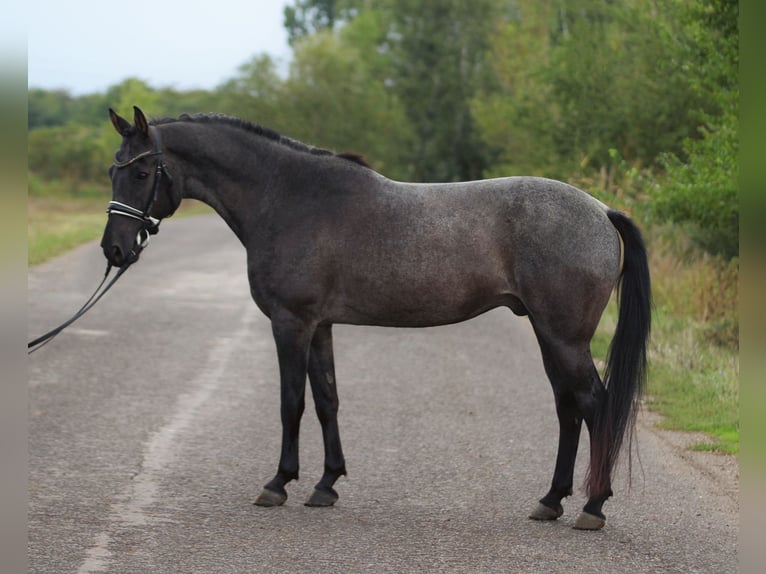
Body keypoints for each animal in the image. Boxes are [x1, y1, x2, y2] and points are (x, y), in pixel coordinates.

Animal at [103, 107, 656, 532]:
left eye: (141, 173)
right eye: (113, 171)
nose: (114, 249)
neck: (288, 198)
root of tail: (602, 210)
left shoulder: (291, 323)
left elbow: (291, 403)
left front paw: (278, 483)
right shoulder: (320, 327)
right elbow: (326, 400)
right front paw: (326, 484)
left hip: (564, 337)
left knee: (594, 405)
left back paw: (592, 507)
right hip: (548, 335)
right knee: (568, 408)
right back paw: (552, 500)